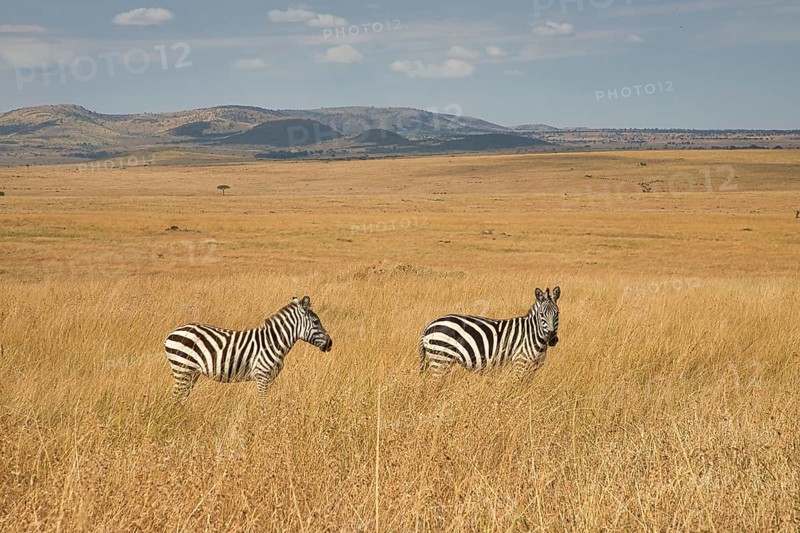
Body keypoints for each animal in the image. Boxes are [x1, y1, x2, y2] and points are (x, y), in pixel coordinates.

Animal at [164, 295, 332, 401]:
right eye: (316, 322)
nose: (330, 344)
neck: (274, 341)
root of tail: (171, 333)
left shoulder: (269, 378)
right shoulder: (262, 376)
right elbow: (264, 404)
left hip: (191, 373)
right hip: (183, 368)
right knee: (174, 398)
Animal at [419, 287, 561, 378]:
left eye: (557, 313)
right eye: (541, 314)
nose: (552, 338)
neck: (533, 335)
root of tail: (429, 326)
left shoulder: (532, 369)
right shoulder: (520, 364)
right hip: (440, 358)